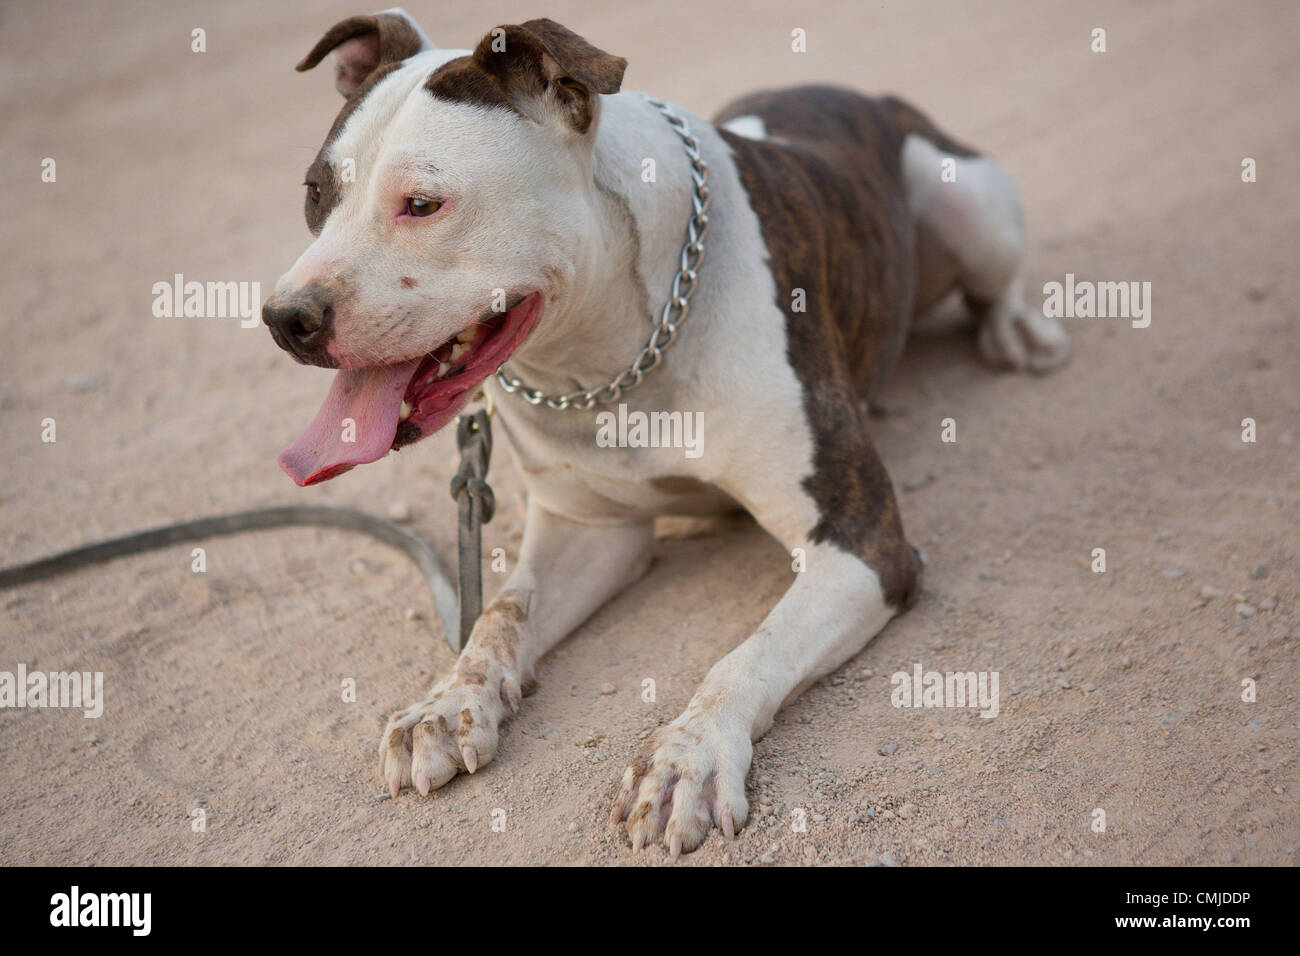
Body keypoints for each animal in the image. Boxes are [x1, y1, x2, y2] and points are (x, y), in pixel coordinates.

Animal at [261, 9, 1066, 858]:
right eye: (315, 193)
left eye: (421, 204)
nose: (286, 318)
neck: (613, 358)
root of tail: (863, 93)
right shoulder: (589, 530)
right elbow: (497, 616)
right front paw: (445, 703)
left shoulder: (862, 542)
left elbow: (750, 652)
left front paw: (690, 755)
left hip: (967, 201)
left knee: (995, 280)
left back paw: (1017, 331)